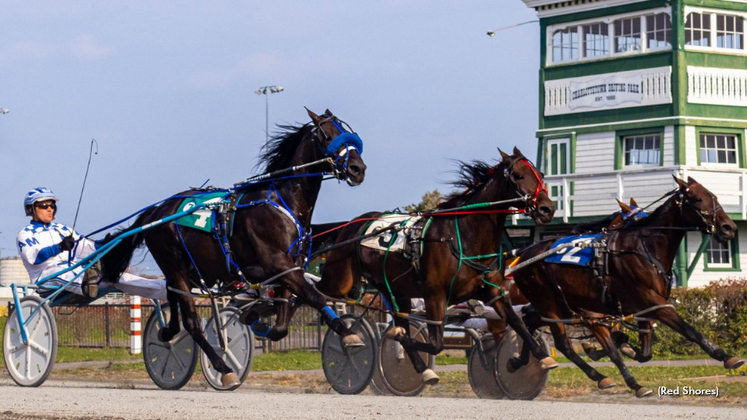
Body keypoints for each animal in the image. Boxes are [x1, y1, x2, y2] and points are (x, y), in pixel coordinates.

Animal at [102, 107, 372, 388]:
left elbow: (282, 321)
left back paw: (169, 331)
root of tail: (155, 212)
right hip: (175, 266)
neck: (282, 204)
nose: (358, 168)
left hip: (186, 271)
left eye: (349, 134)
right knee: (191, 322)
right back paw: (223, 368)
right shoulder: (278, 264)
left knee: (173, 298)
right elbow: (314, 296)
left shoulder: (290, 268)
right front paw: (348, 333)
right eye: (327, 135)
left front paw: (255, 318)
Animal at [314, 147, 556, 384]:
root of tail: (348, 225)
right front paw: (397, 335)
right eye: (518, 175)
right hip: (340, 280)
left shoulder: (493, 292)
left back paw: (423, 369)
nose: (547, 209)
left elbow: (517, 323)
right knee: (312, 292)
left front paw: (533, 359)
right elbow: (433, 343)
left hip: (396, 291)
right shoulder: (435, 295)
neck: (464, 236)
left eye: (541, 174)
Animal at [512, 176, 744, 398]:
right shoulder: (651, 303)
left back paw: (524, 359)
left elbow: (644, 352)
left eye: (714, 196)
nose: (728, 227)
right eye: (697, 199)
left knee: (530, 321)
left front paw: (624, 347)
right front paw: (727, 357)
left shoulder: (644, 309)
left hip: (558, 307)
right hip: (549, 303)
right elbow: (690, 331)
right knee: (562, 344)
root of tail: (523, 255)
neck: (643, 249)